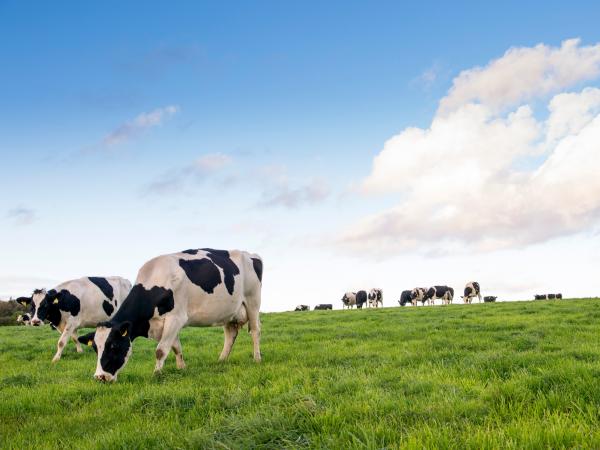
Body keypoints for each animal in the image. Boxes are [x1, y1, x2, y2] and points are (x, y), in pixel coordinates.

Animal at [77, 248, 262, 382]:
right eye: (95, 348)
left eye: (114, 346)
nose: (100, 377)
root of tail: (249, 254)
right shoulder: (164, 324)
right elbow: (176, 347)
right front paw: (181, 368)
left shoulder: (176, 318)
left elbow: (160, 350)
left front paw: (156, 374)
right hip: (229, 312)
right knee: (230, 334)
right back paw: (221, 360)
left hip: (252, 300)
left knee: (255, 331)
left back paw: (257, 358)